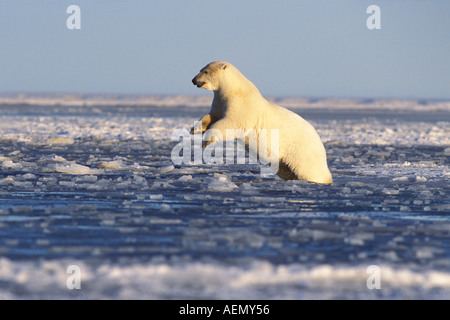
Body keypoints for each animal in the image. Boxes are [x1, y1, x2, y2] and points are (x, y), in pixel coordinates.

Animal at [190, 61, 330, 184]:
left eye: (205, 71)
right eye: (201, 69)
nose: (193, 80)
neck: (235, 90)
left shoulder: (243, 105)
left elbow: (231, 123)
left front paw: (205, 142)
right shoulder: (219, 102)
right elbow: (211, 116)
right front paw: (194, 129)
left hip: (301, 150)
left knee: (308, 169)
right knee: (285, 169)